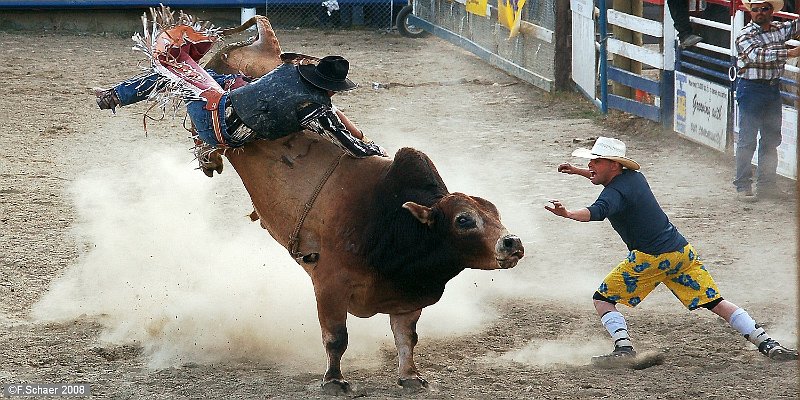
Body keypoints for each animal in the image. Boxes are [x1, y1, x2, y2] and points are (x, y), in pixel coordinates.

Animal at [179, 14, 524, 390]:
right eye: (463, 220)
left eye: (495, 213)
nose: (512, 242)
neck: (393, 223)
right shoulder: (329, 287)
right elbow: (337, 339)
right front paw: (334, 380)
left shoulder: (406, 300)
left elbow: (406, 338)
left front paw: (410, 376)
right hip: (213, 91)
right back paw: (207, 152)